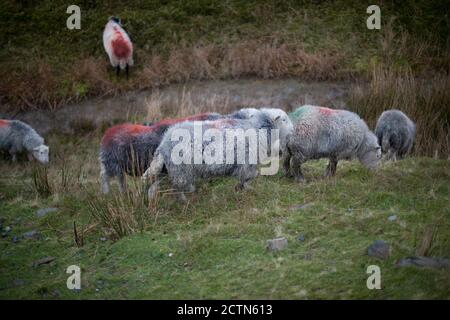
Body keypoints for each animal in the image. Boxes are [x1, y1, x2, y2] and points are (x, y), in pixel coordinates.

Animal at [142, 111, 276, 201]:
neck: (258, 128)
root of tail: (163, 144)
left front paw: (241, 188)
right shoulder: (247, 163)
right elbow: (250, 176)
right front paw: (246, 188)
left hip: (170, 169)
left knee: (156, 184)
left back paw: (151, 199)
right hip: (180, 170)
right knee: (177, 187)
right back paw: (185, 199)